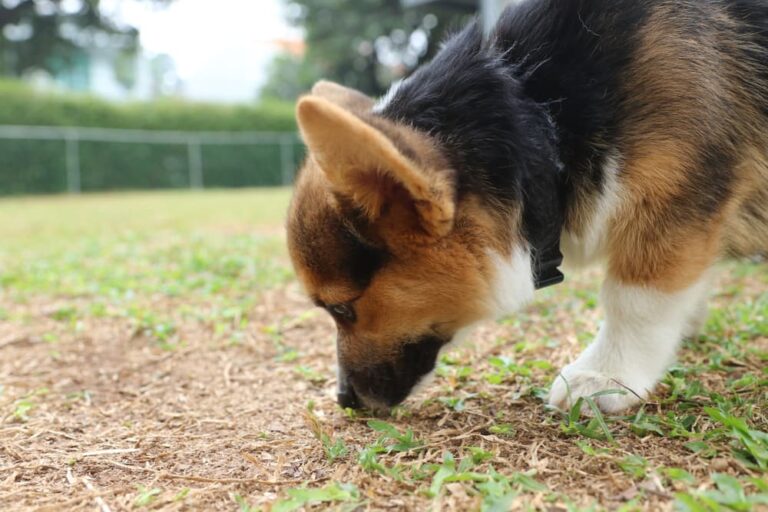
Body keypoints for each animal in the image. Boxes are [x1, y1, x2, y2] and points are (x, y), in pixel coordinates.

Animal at [284, 0, 764, 414]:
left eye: (342, 309)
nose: (344, 400)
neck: (540, 119)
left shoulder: (671, 203)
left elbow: (633, 300)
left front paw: (604, 375)